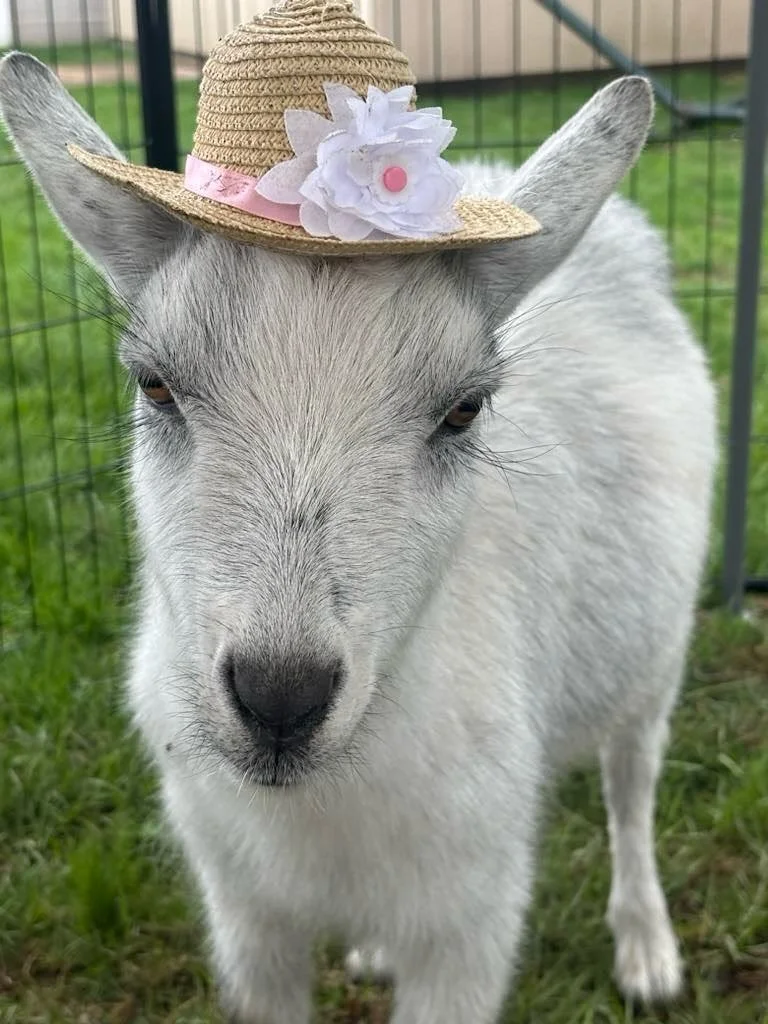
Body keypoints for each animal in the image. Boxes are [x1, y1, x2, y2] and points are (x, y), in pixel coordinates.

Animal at [0, 55, 715, 1023]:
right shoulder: (245, 919)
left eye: (464, 409)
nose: (280, 700)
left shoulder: (468, 924)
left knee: (631, 783)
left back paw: (647, 949)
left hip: (657, 655)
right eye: (154, 385)